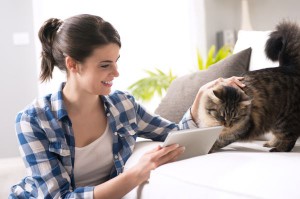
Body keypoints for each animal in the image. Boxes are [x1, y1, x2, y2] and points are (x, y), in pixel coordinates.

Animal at [198, 20, 300, 152]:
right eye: (221, 116)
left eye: (235, 118)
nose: (228, 125)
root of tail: (290, 68)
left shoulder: (238, 130)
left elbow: (218, 141)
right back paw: (271, 143)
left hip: (285, 120)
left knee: (289, 138)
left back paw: (278, 149)